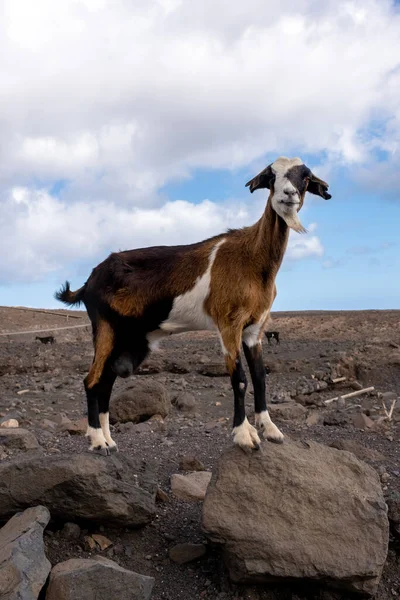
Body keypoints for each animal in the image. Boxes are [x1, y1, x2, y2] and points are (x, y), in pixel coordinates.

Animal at [56, 157, 332, 452]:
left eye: (305, 178)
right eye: (271, 176)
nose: (288, 195)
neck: (253, 259)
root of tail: (89, 282)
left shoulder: (255, 329)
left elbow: (260, 377)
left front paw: (270, 429)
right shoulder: (228, 324)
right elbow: (240, 380)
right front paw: (243, 435)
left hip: (128, 339)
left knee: (106, 381)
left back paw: (109, 440)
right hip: (105, 328)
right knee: (92, 380)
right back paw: (98, 441)